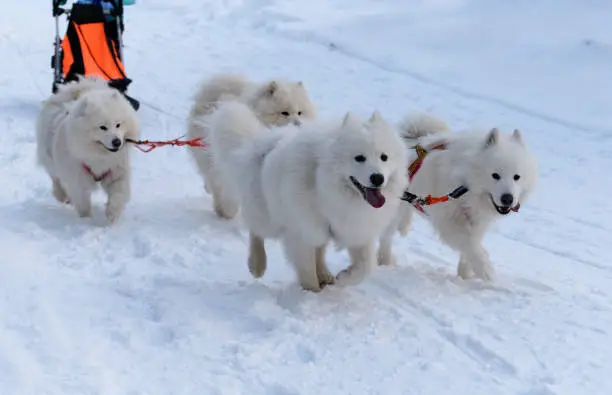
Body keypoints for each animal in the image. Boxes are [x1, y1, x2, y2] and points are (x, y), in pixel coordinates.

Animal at [35, 76, 141, 224]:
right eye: (102, 127)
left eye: (118, 125)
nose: (117, 142)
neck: (99, 156)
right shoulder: (78, 178)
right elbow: (83, 203)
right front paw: (86, 221)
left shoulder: (116, 172)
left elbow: (118, 194)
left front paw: (112, 215)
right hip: (50, 157)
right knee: (55, 177)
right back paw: (62, 196)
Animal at [209, 101, 406, 294]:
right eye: (359, 158)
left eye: (384, 157)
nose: (378, 178)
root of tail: (258, 143)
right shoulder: (300, 232)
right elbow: (306, 268)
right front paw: (310, 293)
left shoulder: (356, 229)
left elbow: (366, 267)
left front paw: (343, 278)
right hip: (268, 214)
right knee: (256, 231)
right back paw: (257, 264)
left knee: (319, 250)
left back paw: (325, 274)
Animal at [378, 114, 540, 282]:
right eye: (495, 175)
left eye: (517, 177)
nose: (508, 199)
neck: (467, 187)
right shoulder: (449, 221)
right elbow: (470, 244)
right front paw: (485, 270)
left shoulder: (477, 223)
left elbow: (470, 248)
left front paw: (465, 275)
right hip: (395, 209)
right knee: (386, 237)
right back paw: (385, 261)